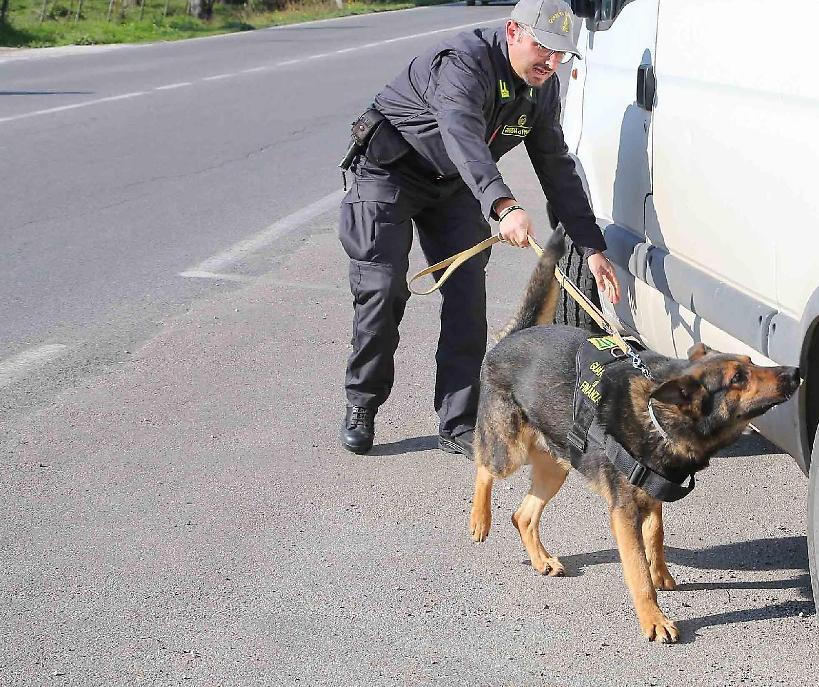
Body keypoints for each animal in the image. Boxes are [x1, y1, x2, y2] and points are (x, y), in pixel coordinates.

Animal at [469, 231, 801, 643]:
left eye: (752, 363)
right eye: (738, 378)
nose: (794, 372)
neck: (660, 416)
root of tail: (513, 335)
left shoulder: (652, 498)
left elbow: (655, 535)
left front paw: (662, 574)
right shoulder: (623, 512)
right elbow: (637, 570)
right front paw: (653, 617)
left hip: (557, 467)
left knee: (523, 516)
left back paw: (541, 558)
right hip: (509, 449)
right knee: (484, 466)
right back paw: (479, 518)